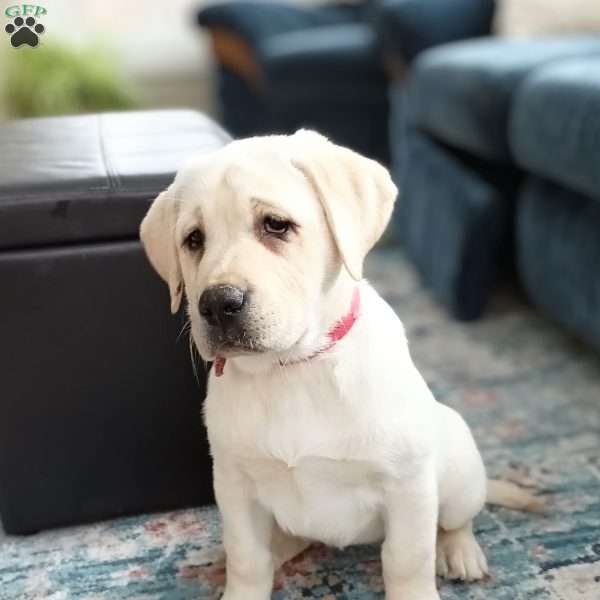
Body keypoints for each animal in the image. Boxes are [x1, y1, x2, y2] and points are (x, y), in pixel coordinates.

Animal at [141, 131, 540, 600]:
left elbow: (406, 559)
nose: (218, 304)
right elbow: (247, 558)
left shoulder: (407, 485)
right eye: (193, 239)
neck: (292, 368)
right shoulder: (235, 486)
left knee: (455, 519)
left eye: (276, 225)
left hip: (458, 473)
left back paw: (460, 552)